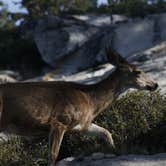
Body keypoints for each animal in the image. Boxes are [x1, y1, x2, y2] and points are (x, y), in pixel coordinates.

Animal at [0, 47, 158, 165]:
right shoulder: (60, 121)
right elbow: (53, 155)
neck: (91, 100)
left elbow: (106, 132)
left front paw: (115, 150)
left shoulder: (82, 125)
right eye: (138, 71)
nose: (155, 84)